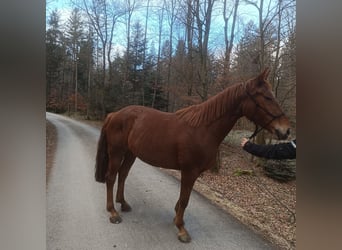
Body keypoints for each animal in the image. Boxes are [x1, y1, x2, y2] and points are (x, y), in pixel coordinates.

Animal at [95, 68, 290, 242]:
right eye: (267, 97)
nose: (285, 131)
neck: (204, 129)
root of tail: (114, 114)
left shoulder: (194, 173)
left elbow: (183, 200)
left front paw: (177, 218)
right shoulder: (189, 171)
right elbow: (185, 199)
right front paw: (181, 229)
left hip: (130, 154)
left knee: (122, 175)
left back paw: (123, 203)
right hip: (116, 152)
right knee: (111, 177)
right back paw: (113, 212)